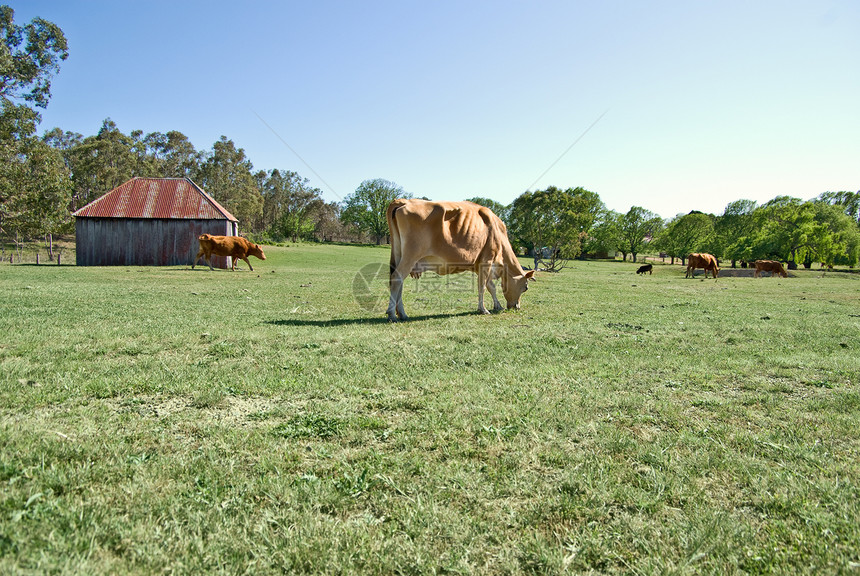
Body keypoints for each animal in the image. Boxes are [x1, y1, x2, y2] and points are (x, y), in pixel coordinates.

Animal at [386, 200, 536, 322]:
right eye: (525, 288)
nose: (516, 307)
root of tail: (403, 201)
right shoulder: (487, 259)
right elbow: (483, 286)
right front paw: (483, 309)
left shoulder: (480, 264)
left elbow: (491, 286)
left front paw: (497, 306)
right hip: (411, 255)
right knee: (397, 278)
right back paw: (393, 314)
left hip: (399, 253)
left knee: (398, 282)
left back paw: (401, 314)